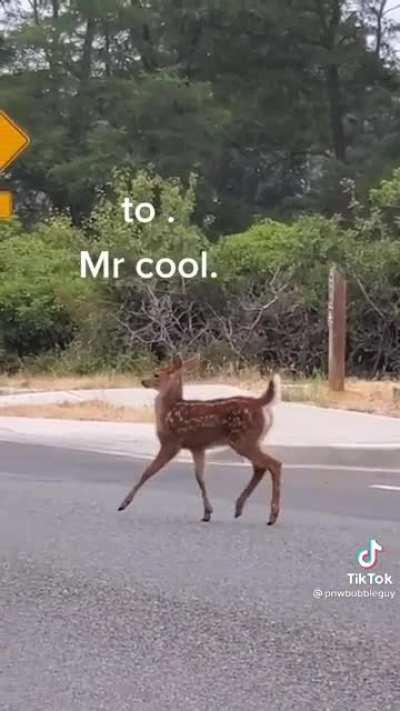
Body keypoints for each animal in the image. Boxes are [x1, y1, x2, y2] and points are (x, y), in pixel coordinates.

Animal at [118, 355, 282, 525]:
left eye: (156, 374)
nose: (143, 381)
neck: (168, 410)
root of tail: (260, 402)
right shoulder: (197, 447)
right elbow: (200, 478)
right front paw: (207, 512)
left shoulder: (171, 442)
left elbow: (148, 471)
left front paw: (124, 503)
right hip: (252, 440)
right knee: (260, 467)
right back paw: (239, 508)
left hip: (242, 439)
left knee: (273, 464)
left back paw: (272, 516)